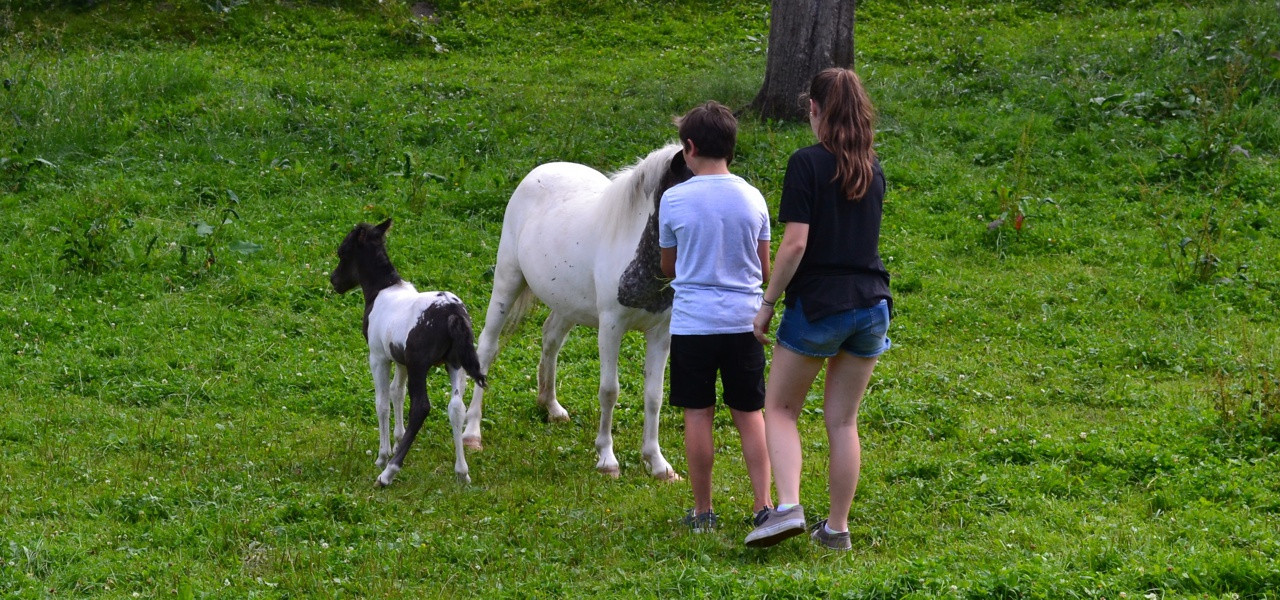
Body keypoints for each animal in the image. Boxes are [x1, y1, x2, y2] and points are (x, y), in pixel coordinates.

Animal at [330, 217, 483, 483]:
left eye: (343, 252)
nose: (334, 280)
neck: (383, 290)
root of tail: (453, 313)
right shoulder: (399, 358)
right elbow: (396, 392)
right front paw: (397, 440)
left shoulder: (378, 357)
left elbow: (382, 402)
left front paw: (383, 455)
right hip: (454, 363)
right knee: (456, 407)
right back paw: (462, 472)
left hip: (419, 365)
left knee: (421, 407)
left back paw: (389, 472)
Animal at [465, 142, 696, 478]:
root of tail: (540, 170)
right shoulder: (611, 327)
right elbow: (610, 391)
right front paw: (607, 459)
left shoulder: (660, 332)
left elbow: (654, 396)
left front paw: (658, 463)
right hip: (507, 281)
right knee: (487, 347)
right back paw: (471, 433)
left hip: (566, 303)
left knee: (550, 338)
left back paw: (550, 406)